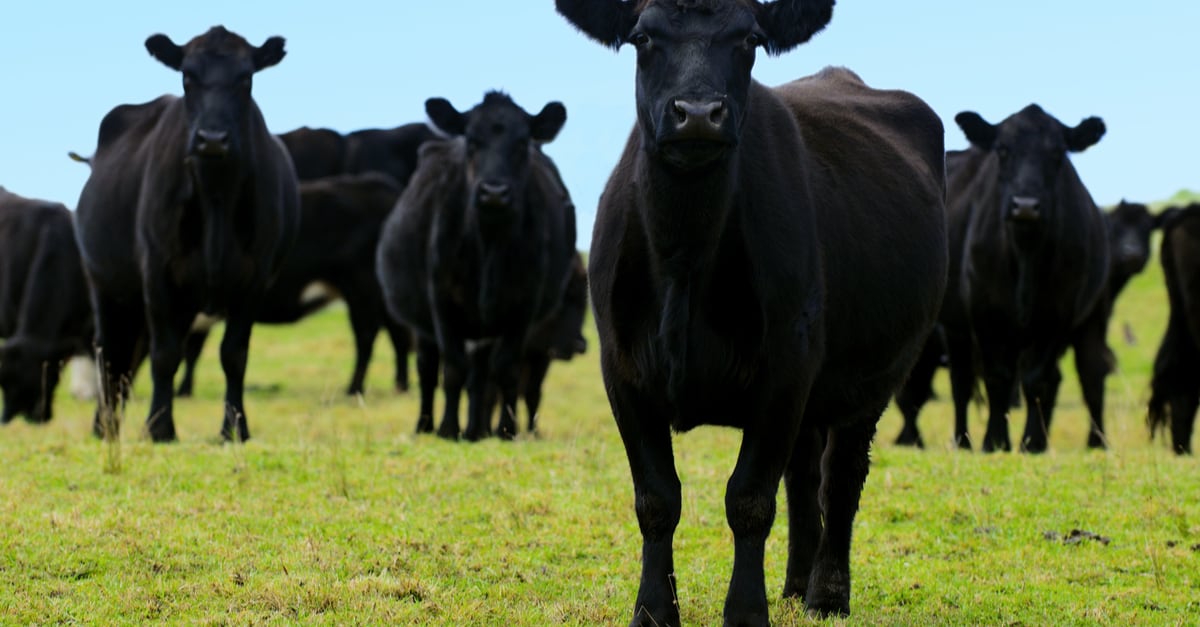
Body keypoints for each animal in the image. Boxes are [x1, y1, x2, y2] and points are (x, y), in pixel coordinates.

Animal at [74, 26, 300, 442]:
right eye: (187, 77)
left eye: (246, 78)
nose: (212, 138)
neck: (215, 194)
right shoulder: (157, 272)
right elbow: (164, 356)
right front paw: (160, 428)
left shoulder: (254, 280)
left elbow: (234, 355)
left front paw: (234, 428)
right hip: (106, 284)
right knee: (110, 351)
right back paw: (105, 426)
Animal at [176, 173, 405, 398]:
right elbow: (192, 351)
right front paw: (184, 389)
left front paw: (181, 391)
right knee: (397, 333)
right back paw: (400, 385)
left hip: (361, 289)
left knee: (366, 338)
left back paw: (354, 388)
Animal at [377, 92, 577, 442]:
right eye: (471, 140)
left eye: (523, 142)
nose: (494, 192)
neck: (488, 244)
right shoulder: (442, 303)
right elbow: (452, 369)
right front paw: (447, 429)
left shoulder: (522, 306)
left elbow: (505, 369)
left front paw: (506, 430)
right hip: (425, 325)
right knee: (428, 369)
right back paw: (426, 424)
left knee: (481, 376)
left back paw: (476, 430)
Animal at [556, 0, 948, 622]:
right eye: (642, 37)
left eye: (750, 40)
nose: (697, 114)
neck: (686, 254)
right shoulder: (623, 370)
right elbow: (656, 499)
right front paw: (653, 609)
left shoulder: (785, 368)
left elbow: (749, 499)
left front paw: (744, 611)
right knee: (804, 474)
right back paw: (793, 582)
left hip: (875, 373)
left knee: (839, 478)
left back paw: (825, 594)